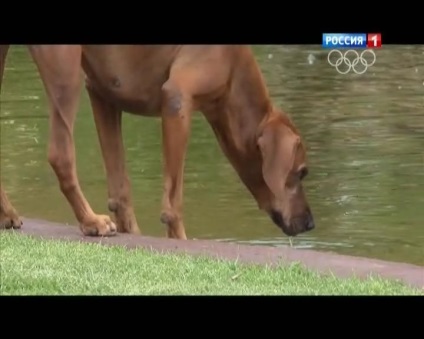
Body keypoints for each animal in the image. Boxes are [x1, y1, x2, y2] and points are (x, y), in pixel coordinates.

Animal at [0, 45, 314, 240]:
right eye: (301, 173)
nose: (311, 223)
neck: (234, 73)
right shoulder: (177, 101)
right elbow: (173, 202)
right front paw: (179, 238)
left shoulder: (103, 93)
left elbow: (121, 188)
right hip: (65, 68)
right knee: (60, 154)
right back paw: (90, 221)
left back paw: (7, 214)